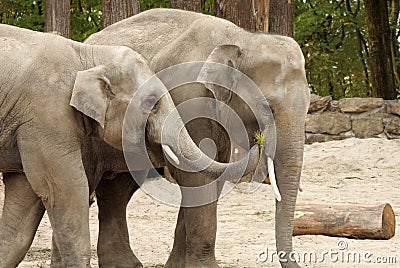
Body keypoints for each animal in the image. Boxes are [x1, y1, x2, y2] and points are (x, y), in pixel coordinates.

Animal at [0, 24, 260, 266]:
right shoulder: (46, 119)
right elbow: (64, 188)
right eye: (151, 103)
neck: (87, 56)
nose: (257, 141)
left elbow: (23, 201)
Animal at [83, 7, 310, 268]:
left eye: (308, 106)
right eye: (266, 107)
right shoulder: (188, 99)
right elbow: (197, 178)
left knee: (116, 191)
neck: (242, 38)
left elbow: (213, 174)